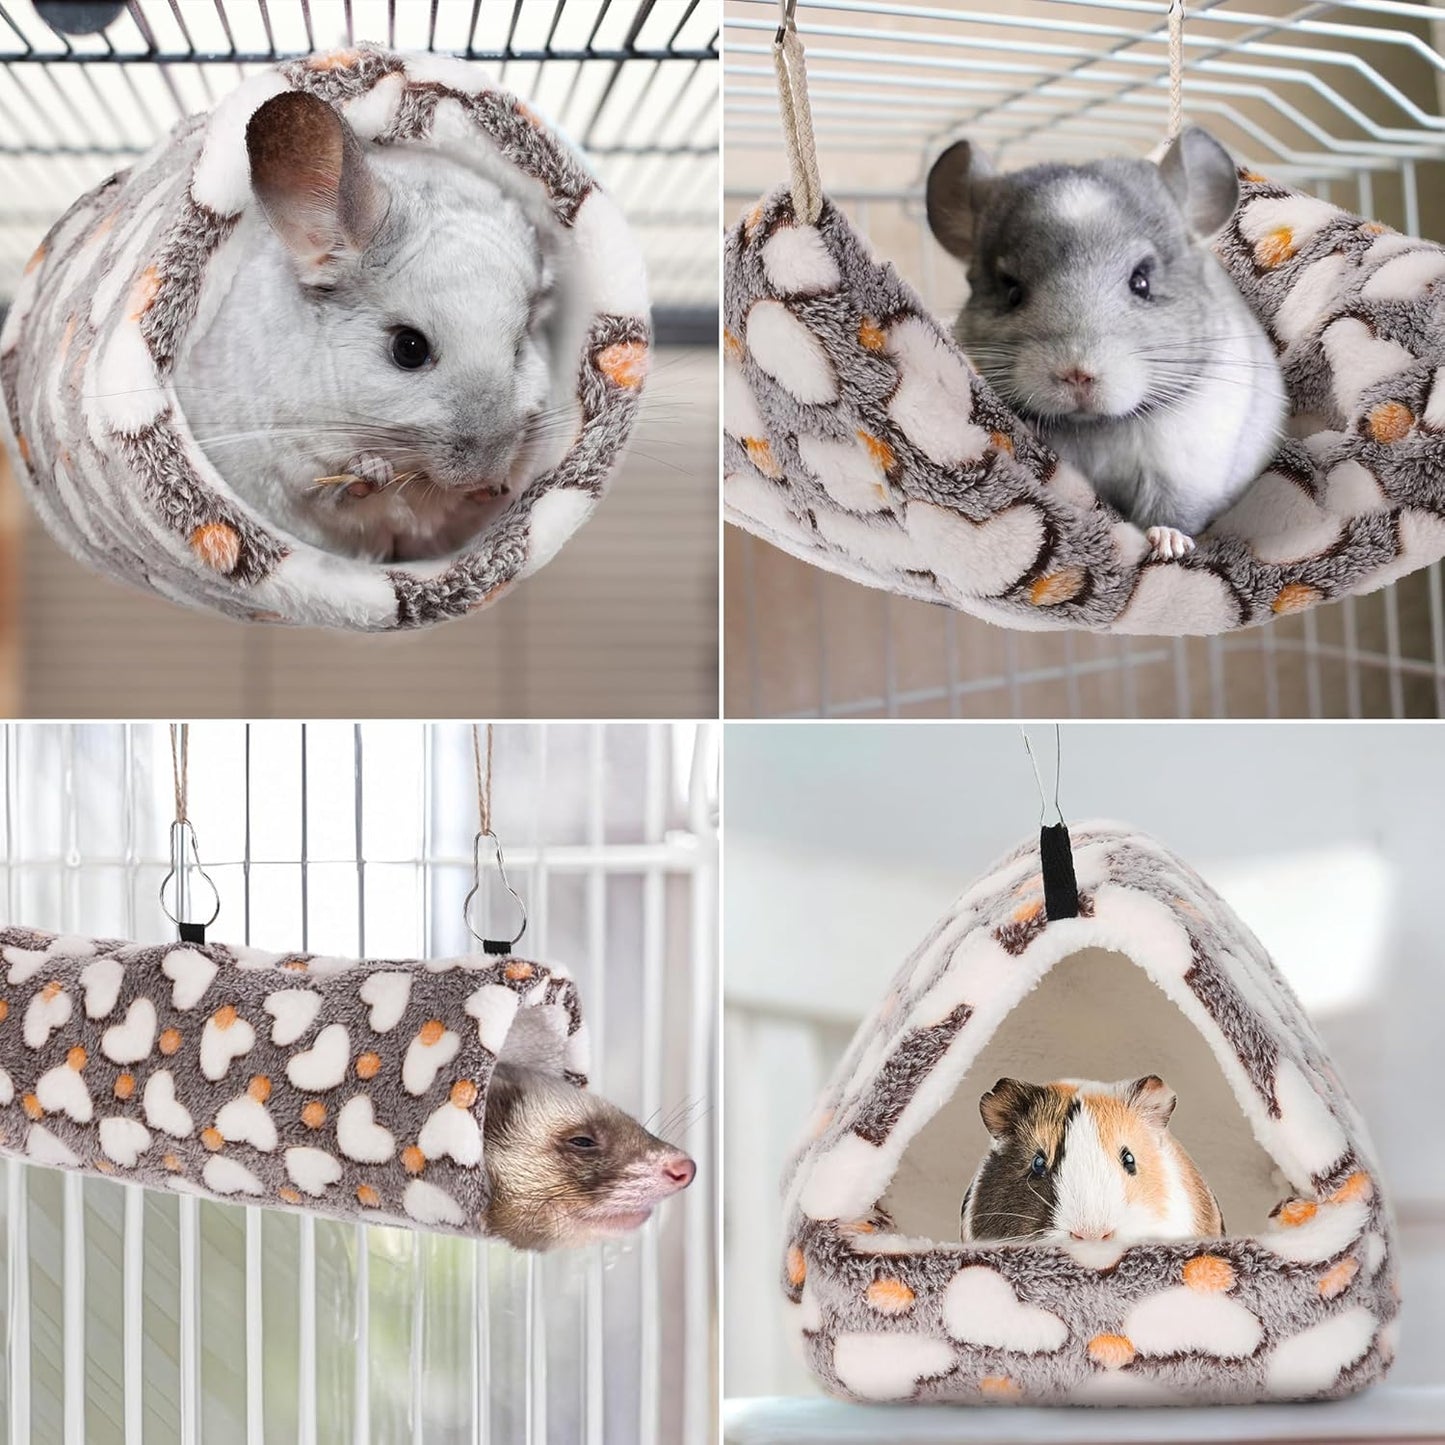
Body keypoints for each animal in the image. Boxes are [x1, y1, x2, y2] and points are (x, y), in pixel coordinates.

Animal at [173, 90, 558, 563]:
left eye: (520, 348)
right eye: (408, 349)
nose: (483, 469)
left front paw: (490, 489)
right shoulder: (299, 472)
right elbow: (339, 495)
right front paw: (370, 469)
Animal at [926, 127, 1287, 562]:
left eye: (1142, 281)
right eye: (1012, 291)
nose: (1077, 374)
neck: (1099, 426)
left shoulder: (1186, 470)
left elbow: (1173, 513)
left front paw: (1168, 543)